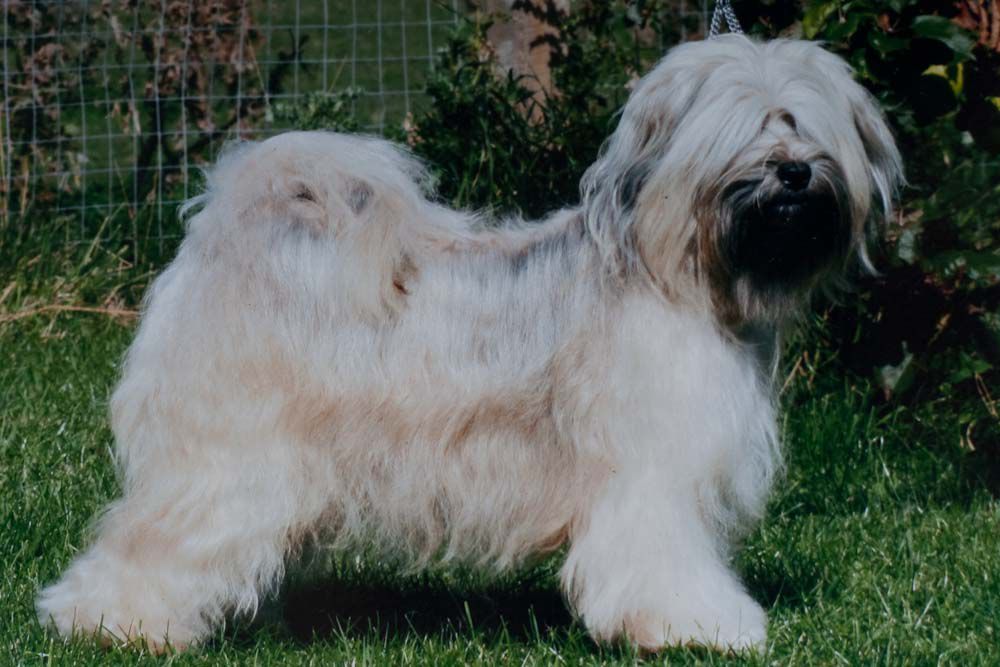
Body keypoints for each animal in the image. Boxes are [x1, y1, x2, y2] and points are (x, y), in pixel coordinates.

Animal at [39, 35, 904, 652]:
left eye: (802, 123)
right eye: (744, 130)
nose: (793, 173)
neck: (677, 274)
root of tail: (232, 220)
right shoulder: (650, 473)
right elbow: (665, 554)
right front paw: (704, 626)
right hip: (226, 457)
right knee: (155, 539)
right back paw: (109, 622)